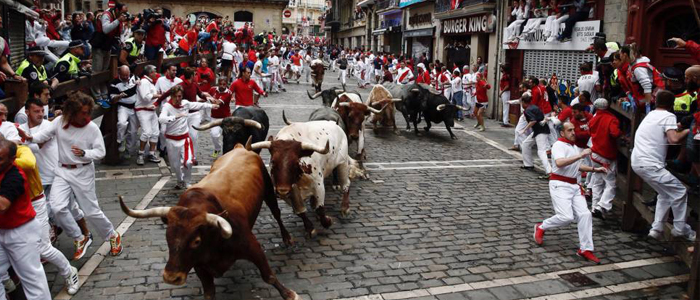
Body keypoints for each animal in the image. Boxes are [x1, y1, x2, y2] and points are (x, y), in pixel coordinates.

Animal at [118, 143, 298, 300]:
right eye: (167, 237)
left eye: (196, 241)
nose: (170, 278)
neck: (215, 238)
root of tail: (241, 148)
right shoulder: (199, 265)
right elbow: (209, 293)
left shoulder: (253, 246)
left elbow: (269, 276)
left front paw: (289, 294)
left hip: (269, 190)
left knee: (276, 213)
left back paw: (287, 238)